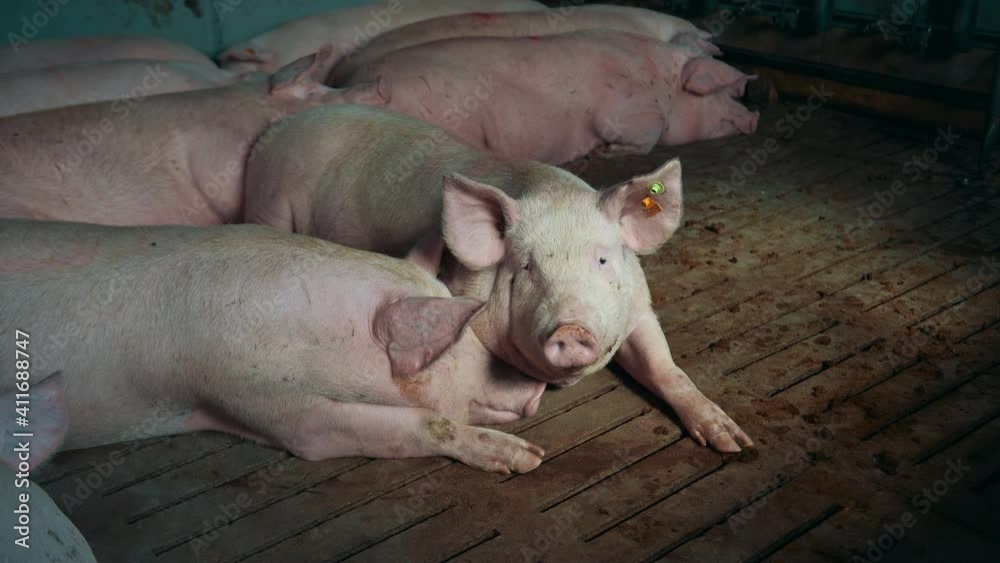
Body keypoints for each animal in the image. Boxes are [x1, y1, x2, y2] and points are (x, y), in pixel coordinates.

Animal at [244, 105, 754, 453]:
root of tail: (282, 124)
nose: (571, 329)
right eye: (526, 266)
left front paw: (734, 443)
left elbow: (665, 368)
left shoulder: (639, 310)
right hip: (269, 200)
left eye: (604, 260)